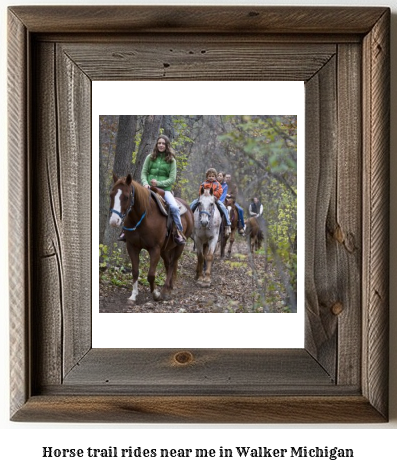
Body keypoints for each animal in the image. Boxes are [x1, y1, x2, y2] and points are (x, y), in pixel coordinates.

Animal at [108, 173, 193, 302]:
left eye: (126, 197)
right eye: (111, 195)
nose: (114, 221)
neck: (144, 217)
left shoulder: (155, 249)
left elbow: (151, 275)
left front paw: (156, 294)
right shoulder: (132, 247)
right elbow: (135, 271)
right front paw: (133, 295)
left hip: (179, 246)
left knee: (172, 264)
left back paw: (165, 290)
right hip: (165, 249)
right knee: (168, 264)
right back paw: (169, 287)